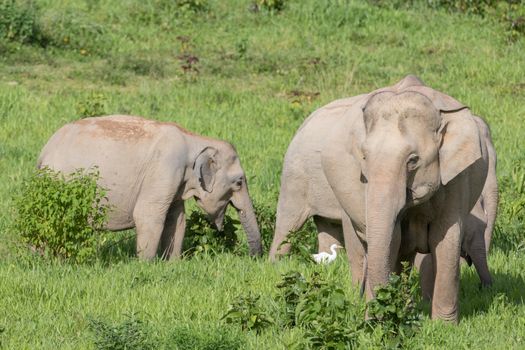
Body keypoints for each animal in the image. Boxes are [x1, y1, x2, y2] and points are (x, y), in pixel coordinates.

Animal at [37, 115, 262, 260]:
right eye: (239, 182)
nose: (253, 258)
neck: (195, 139)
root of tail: (44, 151)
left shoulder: (176, 180)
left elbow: (177, 219)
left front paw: (172, 263)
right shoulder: (164, 168)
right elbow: (148, 215)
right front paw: (146, 264)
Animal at [270, 76, 492, 322]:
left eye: (413, 160)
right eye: (364, 157)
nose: (375, 316)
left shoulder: (458, 177)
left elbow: (445, 238)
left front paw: (443, 325)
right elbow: (392, 239)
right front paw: (379, 318)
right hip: (297, 177)